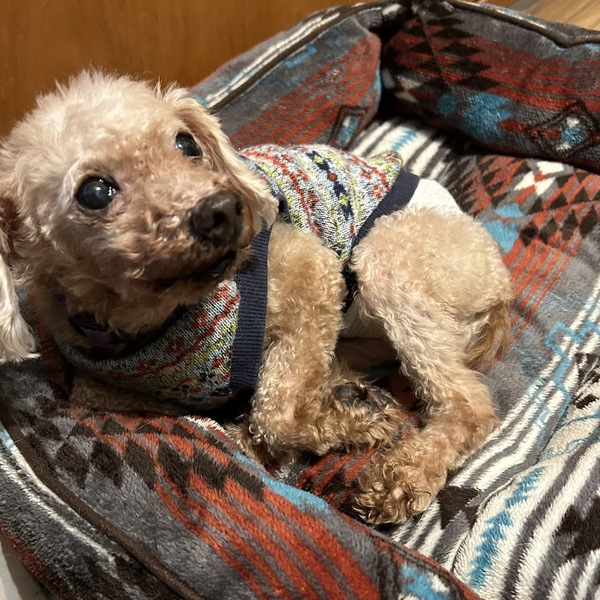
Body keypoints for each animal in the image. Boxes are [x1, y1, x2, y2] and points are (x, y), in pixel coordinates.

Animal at [0, 71, 512, 524]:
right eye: (95, 192)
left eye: (187, 144)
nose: (224, 210)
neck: (156, 321)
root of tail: (500, 282)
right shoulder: (96, 386)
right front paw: (343, 416)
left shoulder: (314, 274)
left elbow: (275, 414)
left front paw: (359, 423)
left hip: (390, 259)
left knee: (469, 407)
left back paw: (402, 475)